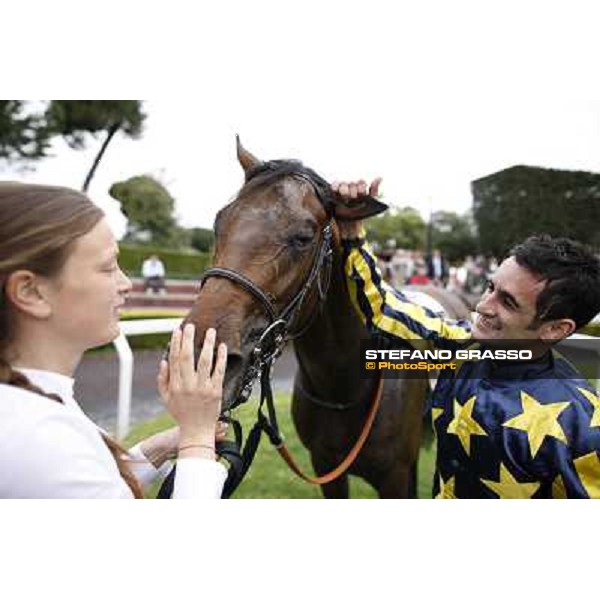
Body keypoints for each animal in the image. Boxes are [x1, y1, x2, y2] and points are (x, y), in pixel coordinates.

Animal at [185, 139, 472, 496]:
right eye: (219, 223)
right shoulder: (326, 466)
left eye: (304, 237)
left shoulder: (394, 474)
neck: (343, 389)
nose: (203, 357)